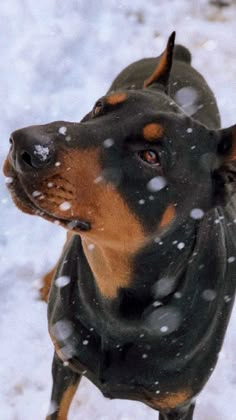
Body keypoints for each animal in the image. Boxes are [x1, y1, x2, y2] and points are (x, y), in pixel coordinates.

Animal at [2, 33, 236, 420]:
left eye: (151, 156)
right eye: (99, 108)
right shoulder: (64, 359)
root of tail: (182, 57)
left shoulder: (179, 402)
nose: (23, 142)